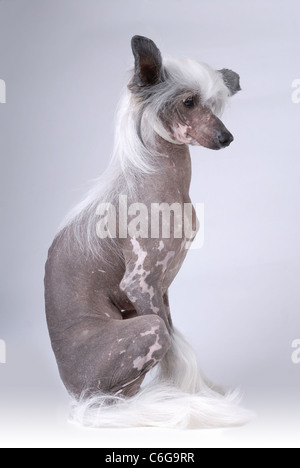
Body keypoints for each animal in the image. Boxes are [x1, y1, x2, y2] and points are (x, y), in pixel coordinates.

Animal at [45, 36, 251, 430]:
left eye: (215, 103)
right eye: (188, 102)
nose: (227, 137)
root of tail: (78, 398)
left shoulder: (161, 287)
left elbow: (177, 338)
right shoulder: (140, 284)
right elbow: (175, 348)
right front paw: (189, 398)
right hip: (143, 332)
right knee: (118, 393)